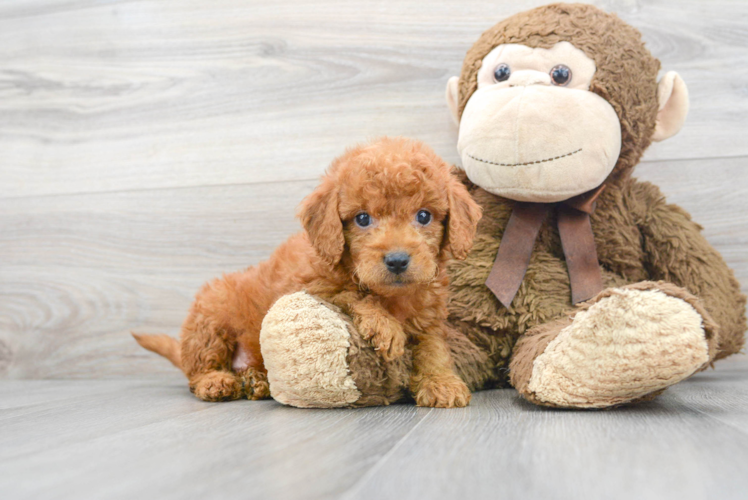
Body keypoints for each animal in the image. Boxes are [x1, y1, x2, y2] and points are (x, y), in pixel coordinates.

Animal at [135, 136, 482, 406]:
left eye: (424, 216)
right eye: (362, 218)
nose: (397, 260)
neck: (393, 296)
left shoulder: (429, 317)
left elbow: (433, 348)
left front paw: (441, 382)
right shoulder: (312, 288)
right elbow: (352, 294)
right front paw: (385, 325)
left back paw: (256, 381)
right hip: (211, 317)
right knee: (199, 368)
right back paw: (216, 381)